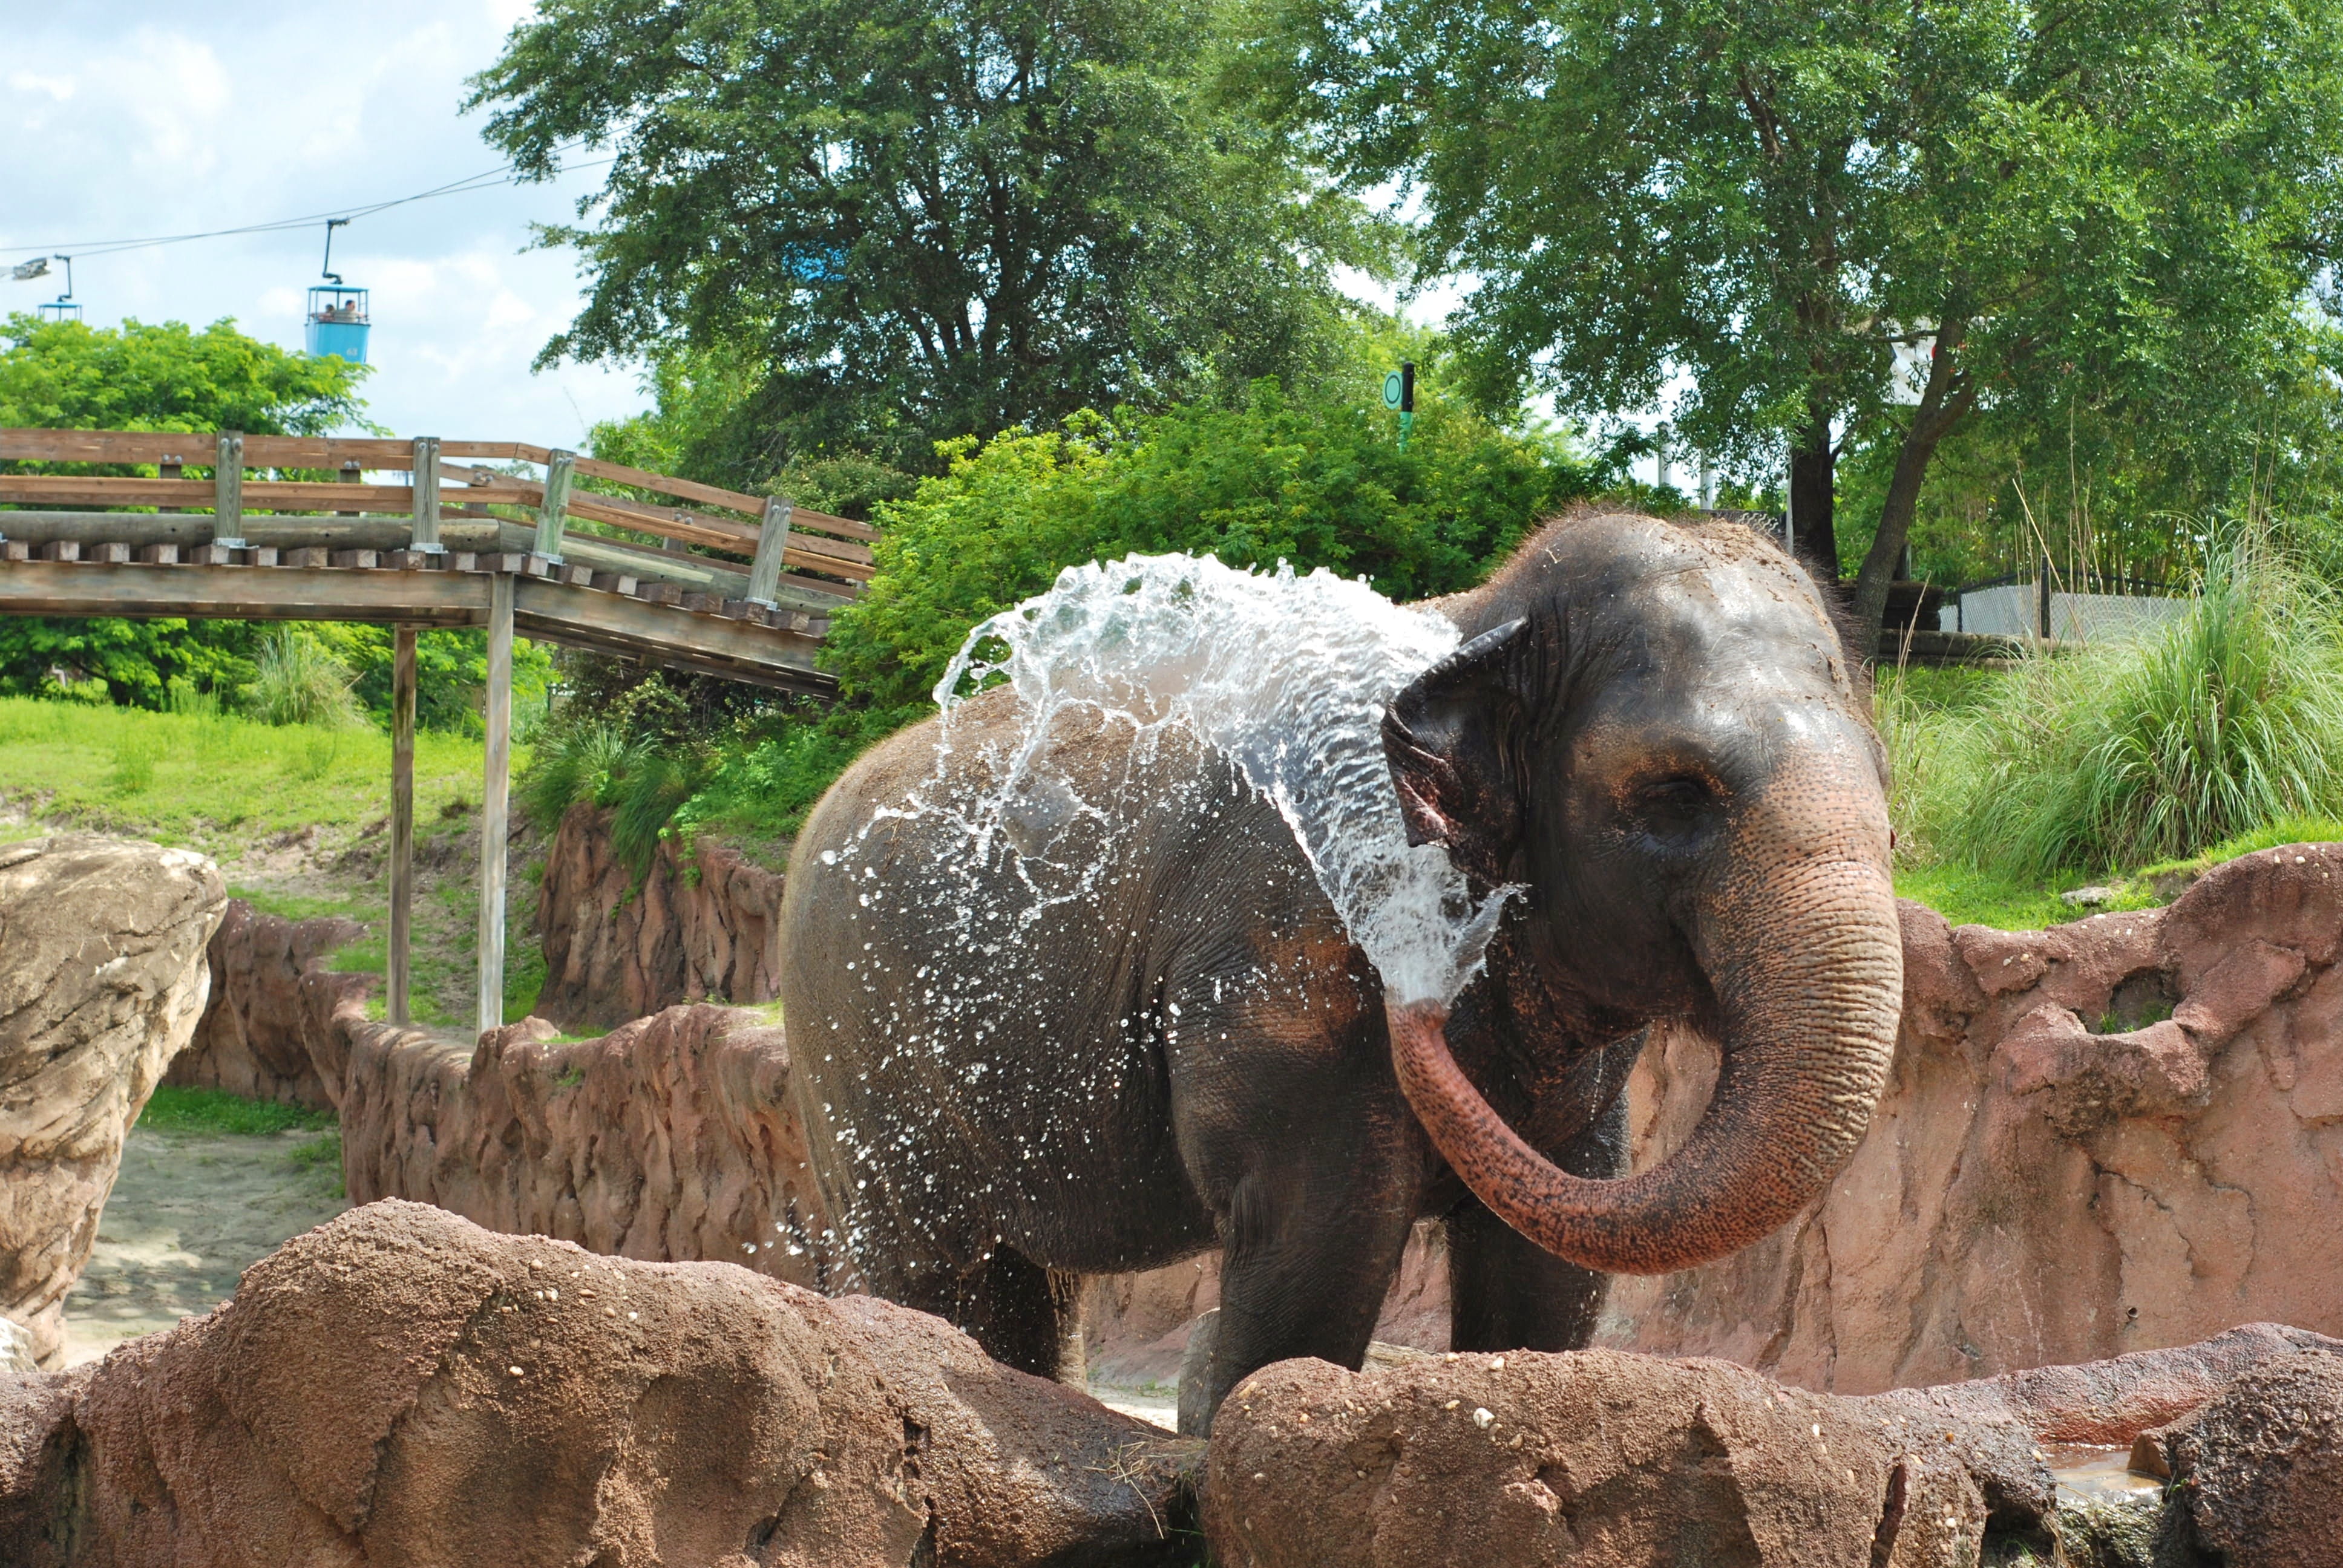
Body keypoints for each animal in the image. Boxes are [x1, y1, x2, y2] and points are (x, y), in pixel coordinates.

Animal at [777, 509, 1903, 1435]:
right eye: (1675, 793)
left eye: (1888, 800)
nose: (1417, 1002)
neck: (1481, 620)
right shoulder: (1283, 956)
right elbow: (1317, 1239)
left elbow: (1547, 1273)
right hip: (850, 1044)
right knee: (927, 1258)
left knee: (1031, 1279)